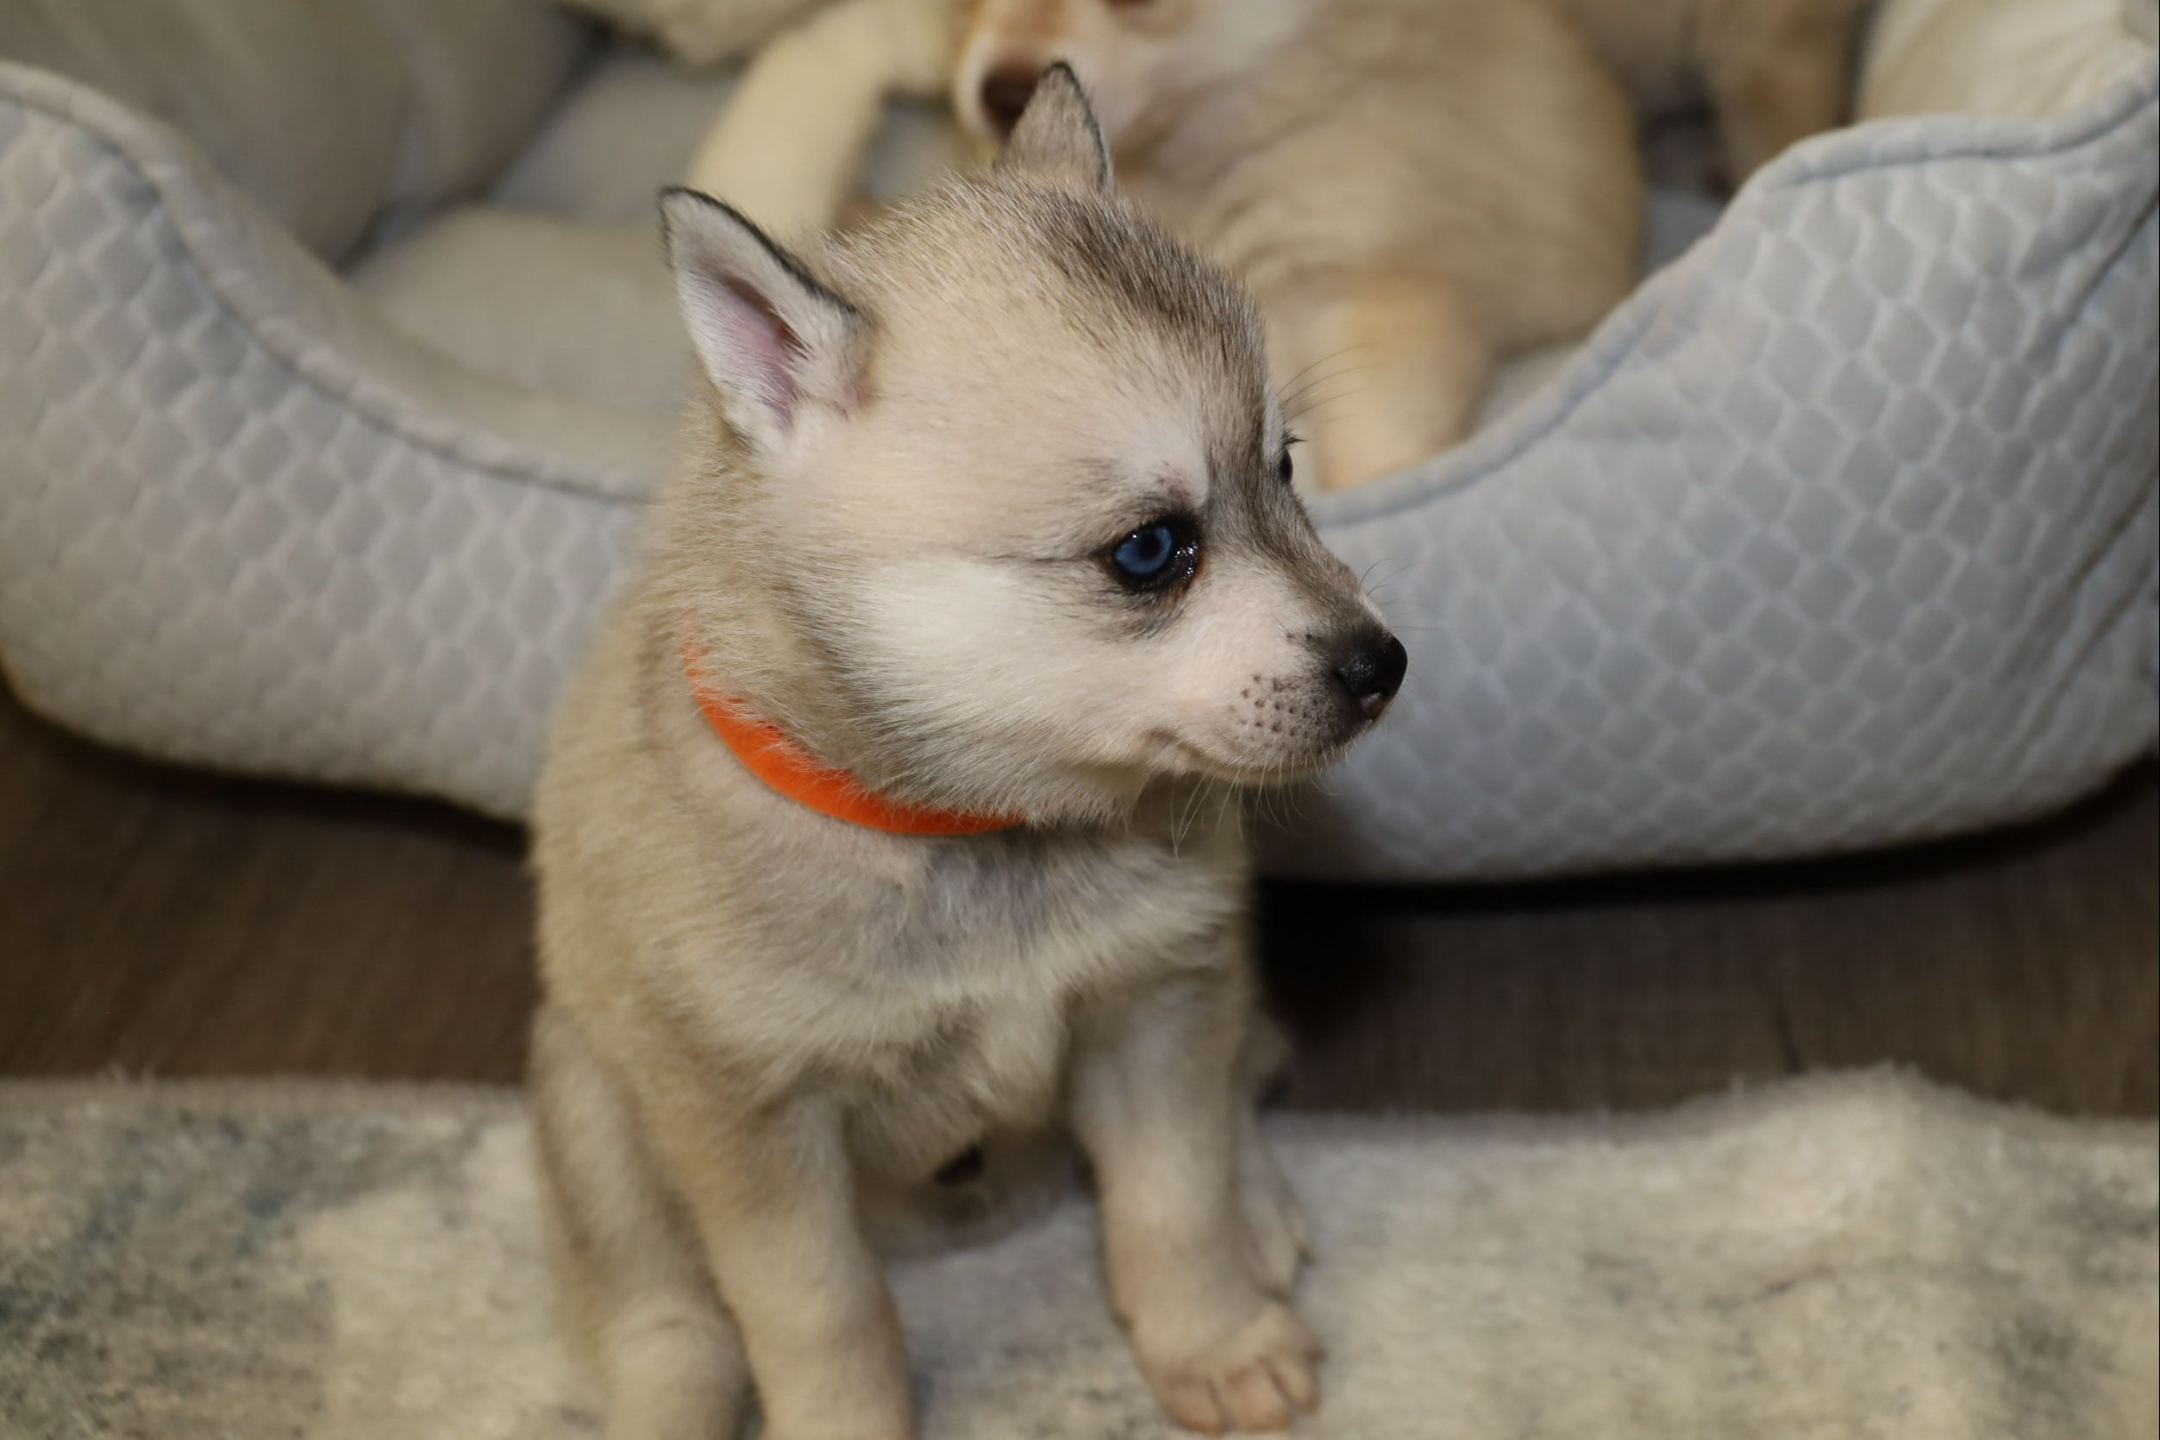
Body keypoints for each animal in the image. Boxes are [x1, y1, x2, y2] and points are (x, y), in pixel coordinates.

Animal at [529, 69, 1406, 1440]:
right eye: (1151, 550)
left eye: (1287, 468)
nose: (1382, 665)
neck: (977, 838)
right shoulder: (754, 1126)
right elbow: (821, 1314)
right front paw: (842, 1425)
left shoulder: (1154, 1006)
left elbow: (1177, 1201)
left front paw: (1210, 1340)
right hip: (592, 1102)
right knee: (660, 1314)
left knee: (1239, 1088)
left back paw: (1260, 1205)